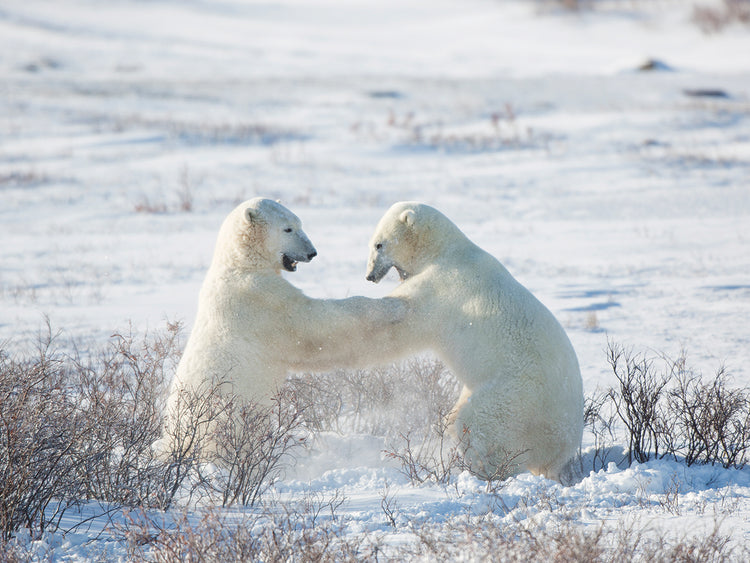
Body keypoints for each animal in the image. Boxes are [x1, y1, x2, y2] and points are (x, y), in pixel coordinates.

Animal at [161, 198, 413, 453]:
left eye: (299, 223)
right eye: (288, 229)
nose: (312, 252)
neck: (240, 264)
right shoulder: (260, 300)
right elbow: (312, 325)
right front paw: (392, 306)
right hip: (219, 415)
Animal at [365, 201, 583, 482]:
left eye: (379, 244)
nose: (369, 276)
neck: (444, 249)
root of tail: (564, 447)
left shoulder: (442, 285)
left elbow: (403, 320)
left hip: (518, 399)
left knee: (480, 423)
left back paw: (483, 469)